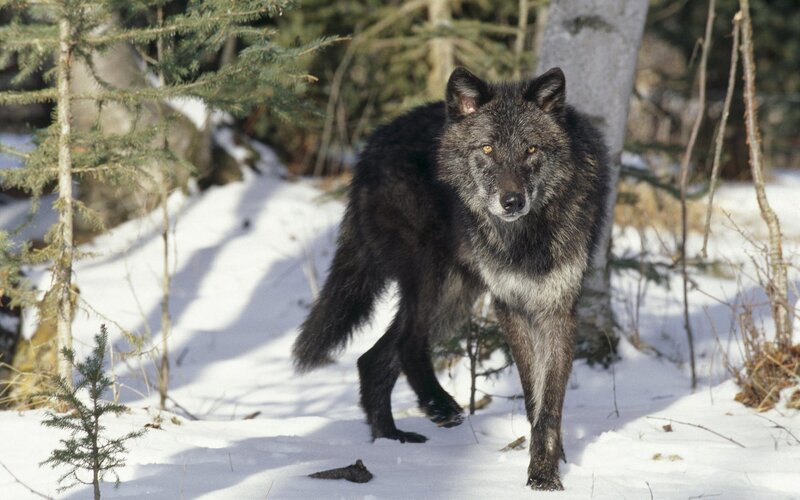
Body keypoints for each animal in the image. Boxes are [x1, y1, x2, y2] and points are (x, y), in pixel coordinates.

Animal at [293, 67, 609, 490]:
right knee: (407, 342)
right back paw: (438, 406)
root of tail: (371, 145)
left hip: (454, 299)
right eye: (487, 149)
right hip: (431, 277)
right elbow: (532, 395)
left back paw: (390, 440)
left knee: (372, 357)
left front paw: (547, 470)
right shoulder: (509, 306)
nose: (512, 202)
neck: (525, 237)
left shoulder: (558, 309)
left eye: (531, 150)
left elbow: (549, 405)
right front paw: (543, 471)